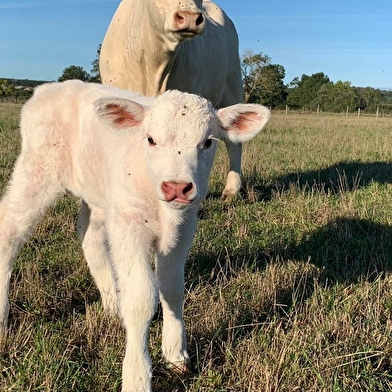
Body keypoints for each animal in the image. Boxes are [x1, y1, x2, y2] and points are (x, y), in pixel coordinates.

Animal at [0, 80, 270, 392]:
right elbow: (141, 296)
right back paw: (2, 318)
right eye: (150, 139)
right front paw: (137, 377)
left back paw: (112, 306)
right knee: (9, 230)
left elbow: (173, 287)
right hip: (38, 171)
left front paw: (176, 355)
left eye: (208, 142)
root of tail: (47, 89)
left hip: (99, 192)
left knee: (88, 233)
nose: (176, 187)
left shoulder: (182, 227)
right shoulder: (128, 224)